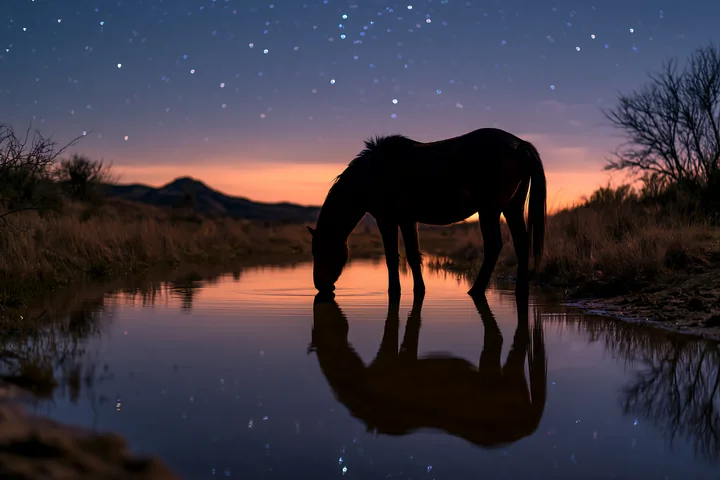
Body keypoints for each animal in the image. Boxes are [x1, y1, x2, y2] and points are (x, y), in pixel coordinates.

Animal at [306, 127, 547, 297]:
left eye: (321, 250)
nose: (320, 285)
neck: (371, 175)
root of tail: (520, 144)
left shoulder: (387, 220)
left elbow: (393, 257)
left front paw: (396, 292)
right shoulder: (407, 220)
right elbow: (413, 256)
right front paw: (418, 290)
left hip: (490, 210)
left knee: (494, 245)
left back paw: (476, 291)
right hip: (512, 207)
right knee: (521, 242)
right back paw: (521, 291)